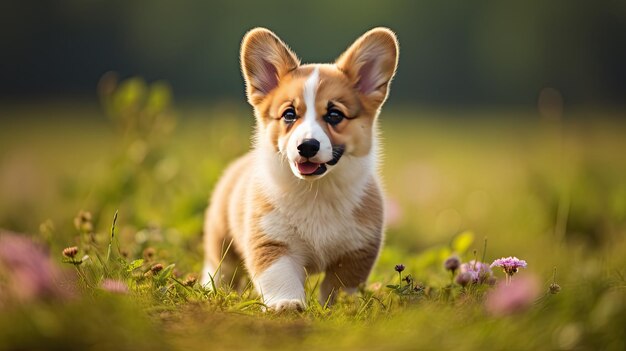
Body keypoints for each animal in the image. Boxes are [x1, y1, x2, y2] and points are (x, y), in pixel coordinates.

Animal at [204, 26, 400, 310]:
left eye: (334, 115)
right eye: (289, 114)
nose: (307, 146)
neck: (315, 192)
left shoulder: (356, 252)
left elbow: (340, 288)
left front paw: (341, 308)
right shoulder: (271, 241)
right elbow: (280, 276)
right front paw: (286, 304)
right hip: (222, 239)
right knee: (220, 269)